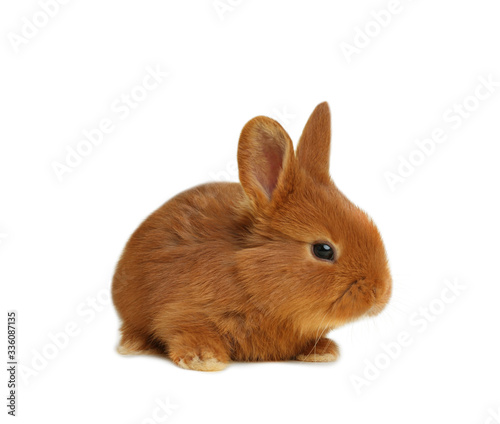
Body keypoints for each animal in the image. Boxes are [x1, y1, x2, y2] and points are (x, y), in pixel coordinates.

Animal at [112, 102, 390, 372]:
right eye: (323, 249)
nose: (380, 293)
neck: (246, 277)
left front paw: (323, 352)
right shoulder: (182, 314)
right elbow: (187, 331)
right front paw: (204, 359)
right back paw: (133, 345)